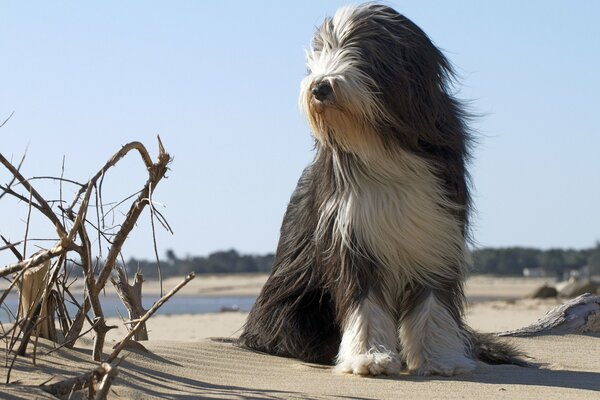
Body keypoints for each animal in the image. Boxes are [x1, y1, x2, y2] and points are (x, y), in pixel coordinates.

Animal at [239, 4, 524, 376]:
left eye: (360, 52)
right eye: (320, 53)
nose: (319, 87)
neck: (381, 143)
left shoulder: (436, 231)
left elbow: (433, 301)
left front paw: (441, 359)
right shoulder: (352, 232)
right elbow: (365, 301)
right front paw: (369, 357)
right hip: (290, 307)